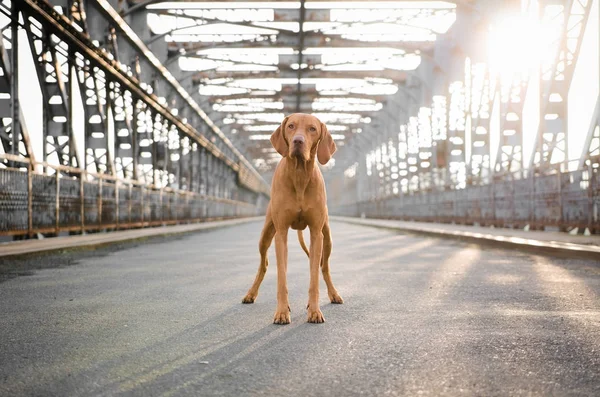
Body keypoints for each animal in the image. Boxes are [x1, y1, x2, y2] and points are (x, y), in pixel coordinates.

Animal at [243, 113, 344, 324]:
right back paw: (250, 293)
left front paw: (314, 311)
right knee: (263, 264)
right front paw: (282, 312)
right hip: (265, 235)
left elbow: (314, 277)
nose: (298, 141)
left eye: (312, 129)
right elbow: (281, 277)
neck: (299, 175)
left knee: (324, 267)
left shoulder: (316, 234)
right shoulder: (281, 233)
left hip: (327, 238)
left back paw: (334, 294)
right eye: (291, 126)